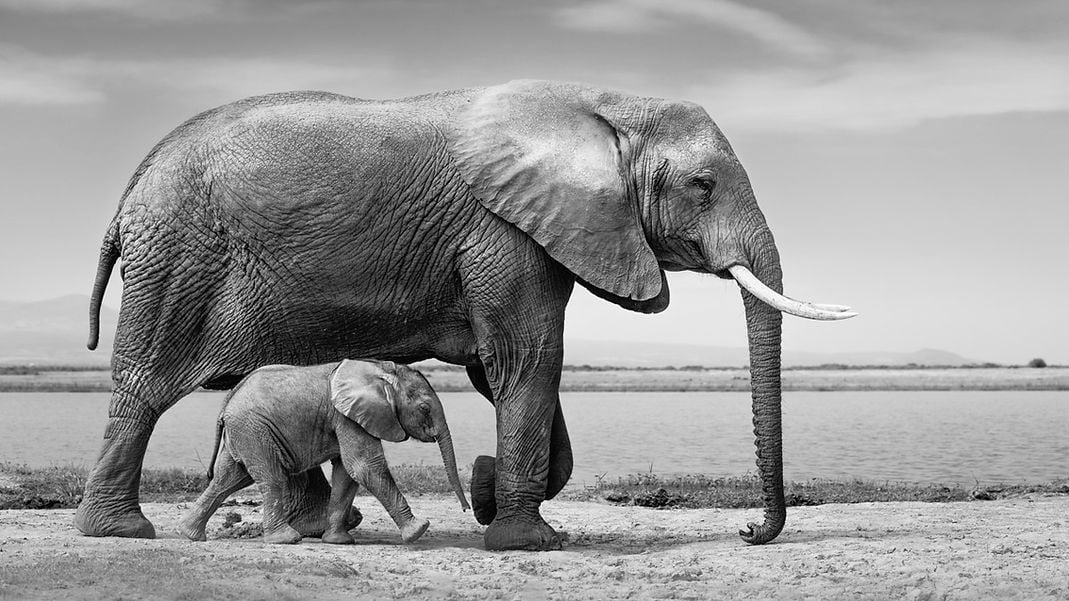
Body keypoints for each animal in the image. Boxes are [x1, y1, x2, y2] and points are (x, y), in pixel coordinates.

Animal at [176, 359, 469, 544]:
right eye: (424, 409)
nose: (467, 509)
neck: (383, 369)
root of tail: (227, 402)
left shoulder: (348, 417)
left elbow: (347, 473)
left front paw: (338, 541)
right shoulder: (347, 416)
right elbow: (364, 466)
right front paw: (419, 530)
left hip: (246, 432)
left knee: (229, 478)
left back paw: (190, 534)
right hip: (255, 429)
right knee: (271, 478)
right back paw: (286, 539)